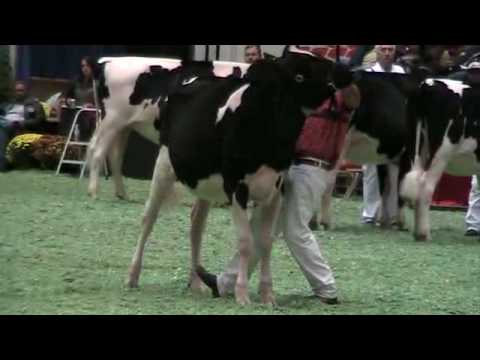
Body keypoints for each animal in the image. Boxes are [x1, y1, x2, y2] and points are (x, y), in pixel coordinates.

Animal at [87, 57, 249, 201]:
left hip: (123, 126)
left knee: (115, 156)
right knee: (97, 150)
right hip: (111, 120)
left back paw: (122, 194)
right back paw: (94, 192)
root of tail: (106, 62)